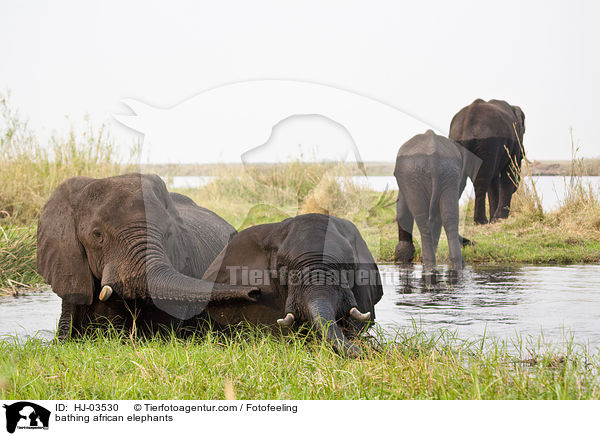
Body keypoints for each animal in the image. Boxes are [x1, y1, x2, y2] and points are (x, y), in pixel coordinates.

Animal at [394, 129, 482, 272]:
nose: (472, 242)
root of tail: (433, 157)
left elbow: (402, 211)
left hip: (415, 178)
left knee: (423, 221)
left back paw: (429, 265)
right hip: (449, 174)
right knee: (449, 218)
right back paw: (457, 265)